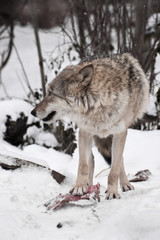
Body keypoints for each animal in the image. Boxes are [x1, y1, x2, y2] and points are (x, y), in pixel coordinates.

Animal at [31, 53, 150, 200]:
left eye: (50, 93)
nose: (33, 112)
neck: (98, 105)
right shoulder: (84, 132)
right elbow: (83, 166)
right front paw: (79, 187)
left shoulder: (120, 134)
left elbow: (114, 170)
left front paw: (112, 192)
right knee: (91, 161)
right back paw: (88, 187)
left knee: (118, 160)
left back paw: (125, 184)